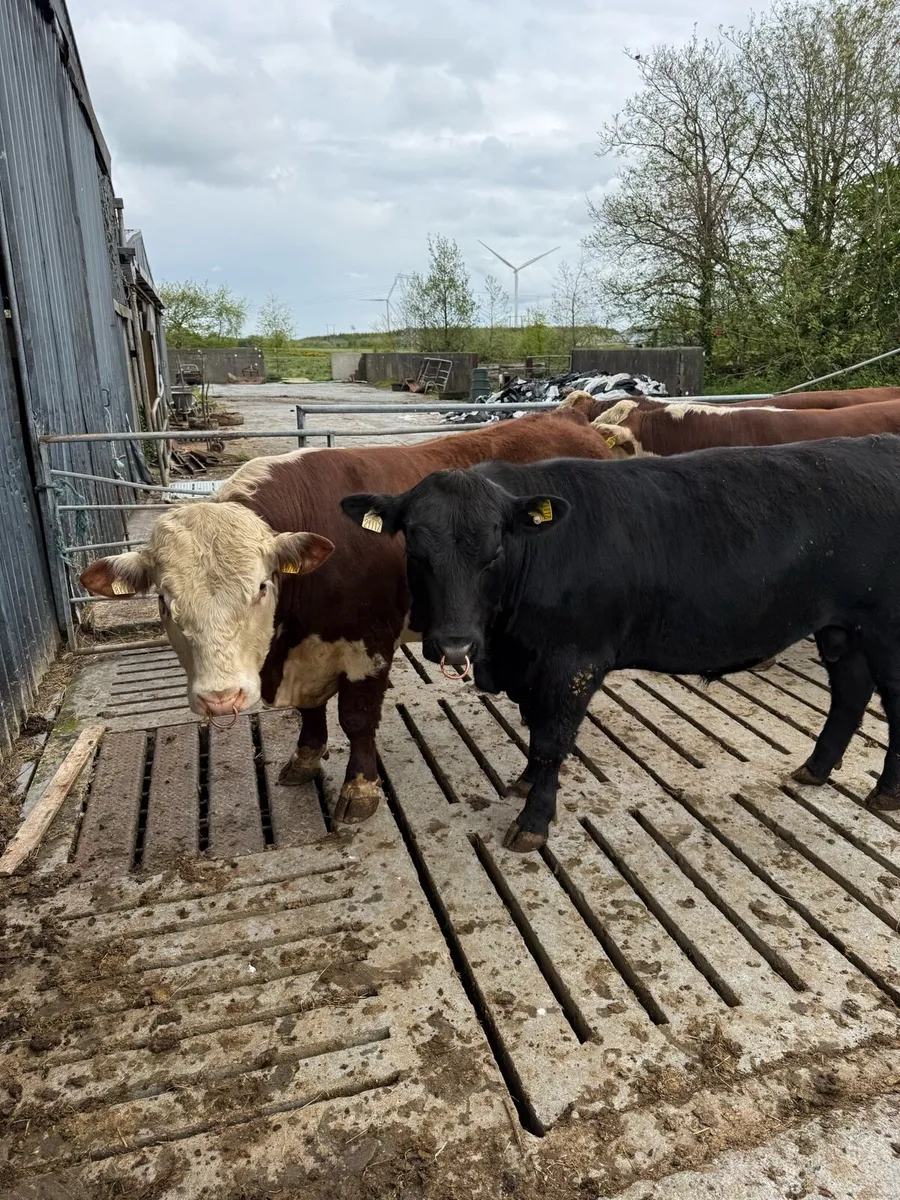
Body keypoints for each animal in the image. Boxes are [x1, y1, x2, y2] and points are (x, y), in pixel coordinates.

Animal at [79, 411, 613, 823]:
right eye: (165, 601)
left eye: (261, 586)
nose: (220, 697)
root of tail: (567, 417)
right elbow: (311, 710)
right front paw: (305, 757)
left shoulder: (369, 644)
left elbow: (356, 719)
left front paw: (359, 790)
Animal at [342, 435, 900, 851]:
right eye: (415, 548)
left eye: (496, 549)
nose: (455, 645)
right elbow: (536, 729)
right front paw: (525, 781)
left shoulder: (573, 663)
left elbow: (552, 740)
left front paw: (533, 822)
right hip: (841, 628)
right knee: (850, 692)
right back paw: (815, 769)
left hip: (885, 628)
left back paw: (886, 792)